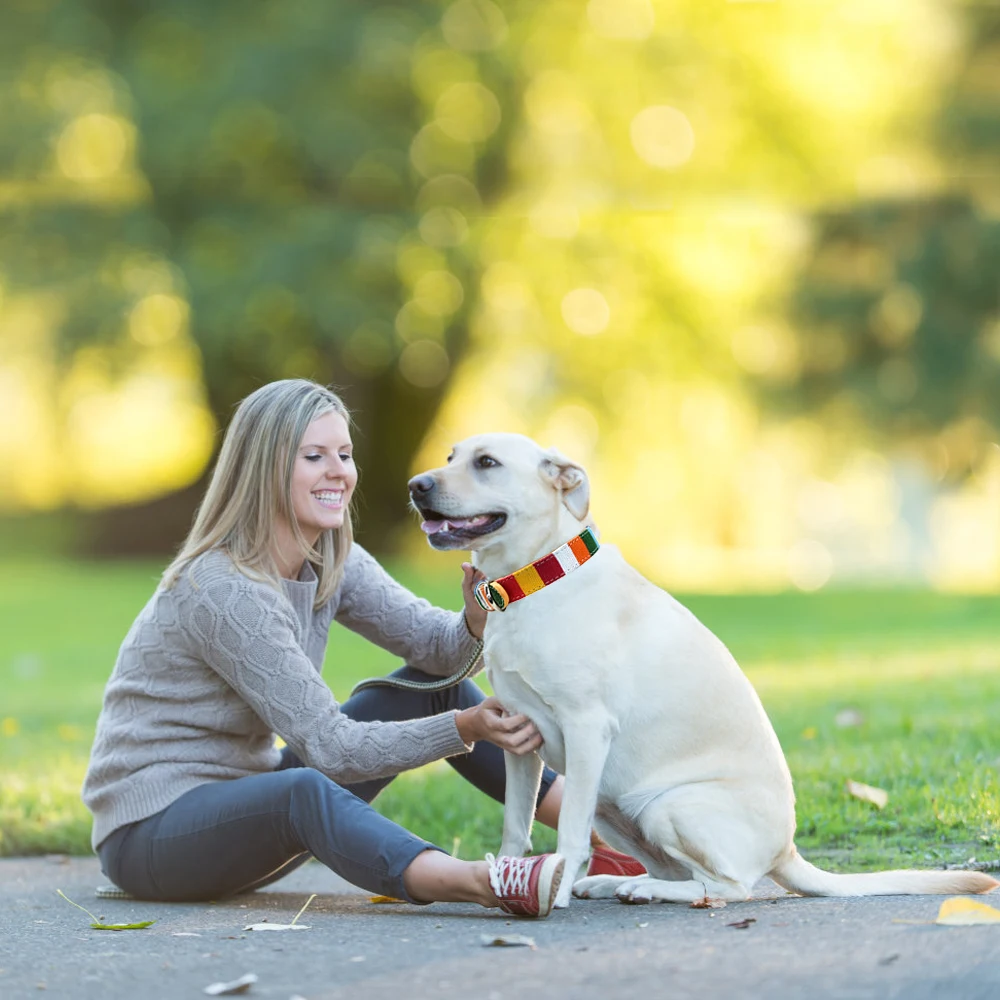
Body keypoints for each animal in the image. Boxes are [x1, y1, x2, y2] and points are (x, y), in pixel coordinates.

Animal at [408, 434, 1000, 912]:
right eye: (450, 457)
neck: (534, 580)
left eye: (487, 462)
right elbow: (515, 825)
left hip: (668, 804)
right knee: (682, 873)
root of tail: (787, 849)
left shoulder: (586, 727)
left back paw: (644, 889)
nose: (416, 485)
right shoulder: (518, 735)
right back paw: (617, 884)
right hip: (614, 808)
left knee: (729, 887)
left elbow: (569, 832)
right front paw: (503, 879)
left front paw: (551, 887)